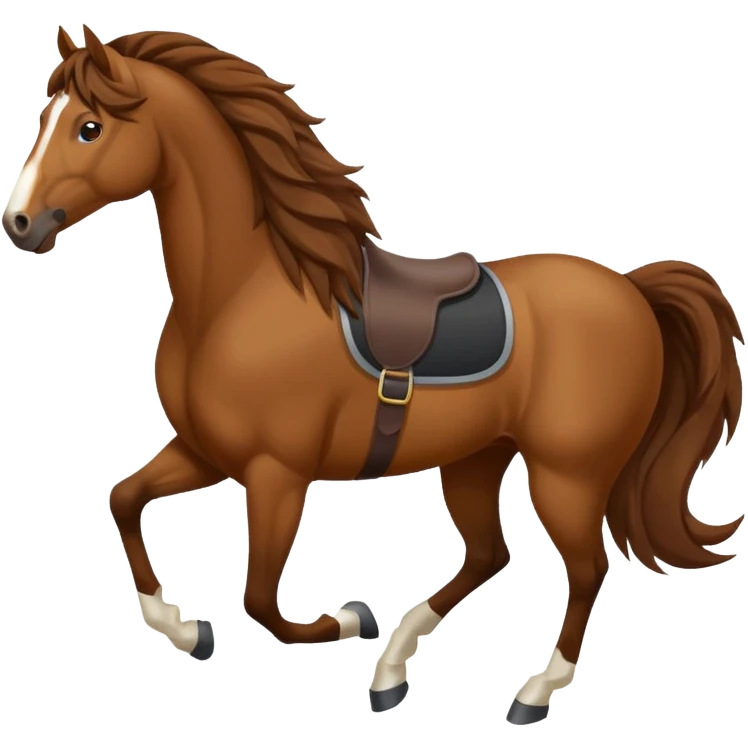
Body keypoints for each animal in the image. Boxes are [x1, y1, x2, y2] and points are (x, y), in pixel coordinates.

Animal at [3, 24, 744, 725]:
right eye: (45, 118)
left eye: (89, 126)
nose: (20, 223)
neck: (241, 293)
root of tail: (633, 290)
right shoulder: (207, 452)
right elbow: (124, 500)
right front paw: (187, 632)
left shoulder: (277, 473)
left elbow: (261, 599)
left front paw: (350, 616)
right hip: (476, 458)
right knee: (489, 555)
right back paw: (392, 670)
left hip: (569, 473)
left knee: (586, 569)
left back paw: (531, 692)